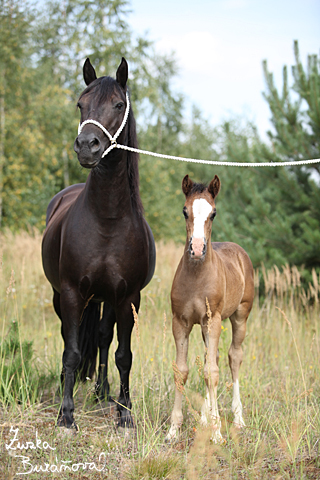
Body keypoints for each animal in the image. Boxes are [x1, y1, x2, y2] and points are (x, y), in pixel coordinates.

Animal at [42, 58, 157, 430]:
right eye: (81, 104)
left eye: (118, 105)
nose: (86, 146)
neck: (107, 220)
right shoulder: (72, 293)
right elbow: (72, 351)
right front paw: (66, 416)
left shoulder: (129, 297)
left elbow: (123, 355)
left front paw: (125, 414)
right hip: (64, 296)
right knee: (71, 336)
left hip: (108, 299)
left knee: (105, 338)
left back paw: (102, 393)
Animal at [168, 175, 255, 442]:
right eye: (184, 211)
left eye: (213, 213)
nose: (197, 249)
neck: (197, 276)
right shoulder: (180, 322)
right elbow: (182, 371)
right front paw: (173, 429)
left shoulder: (212, 319)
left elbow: (212, 373)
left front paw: (217, 433)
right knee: (212, 357)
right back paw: (205, 417)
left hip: (240, 316)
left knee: (233, 357)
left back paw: (237, 418)